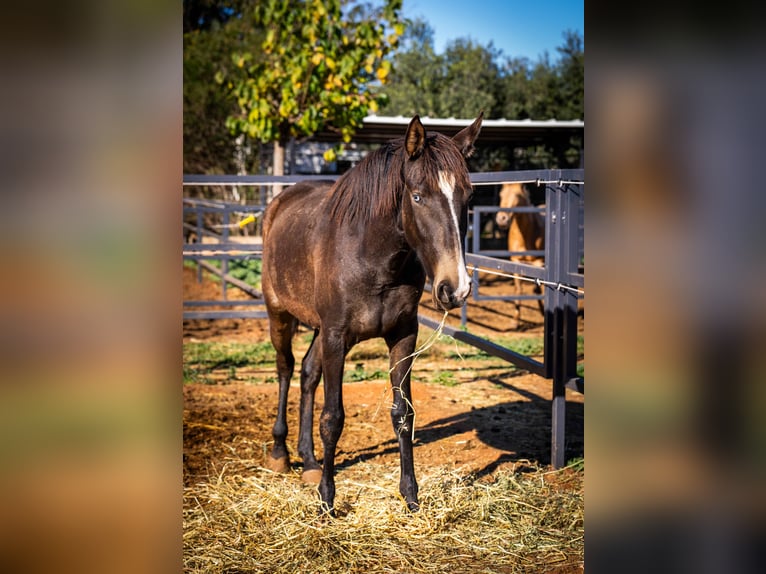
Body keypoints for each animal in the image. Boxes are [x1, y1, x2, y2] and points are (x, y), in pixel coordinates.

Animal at [260, 115, 484, 516]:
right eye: (417, 196)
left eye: (468, 196)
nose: (455, 288)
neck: (372, 258)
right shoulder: (336, 337)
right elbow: (333, 418)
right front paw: (327, 501)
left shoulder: (403, 336)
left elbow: (403, 414)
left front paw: (410, 496)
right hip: (279, 314)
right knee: (285, 369)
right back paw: (280, 453)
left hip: (318, 329)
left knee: (307, 373)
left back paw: (310, 462)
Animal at [498, 184, 544, 328]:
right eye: (501, 195)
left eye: (517, 195)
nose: (501, 218)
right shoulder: (516, 262)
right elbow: (518, 290)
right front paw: (515, 321)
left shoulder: (539, 264)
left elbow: (539, 289)